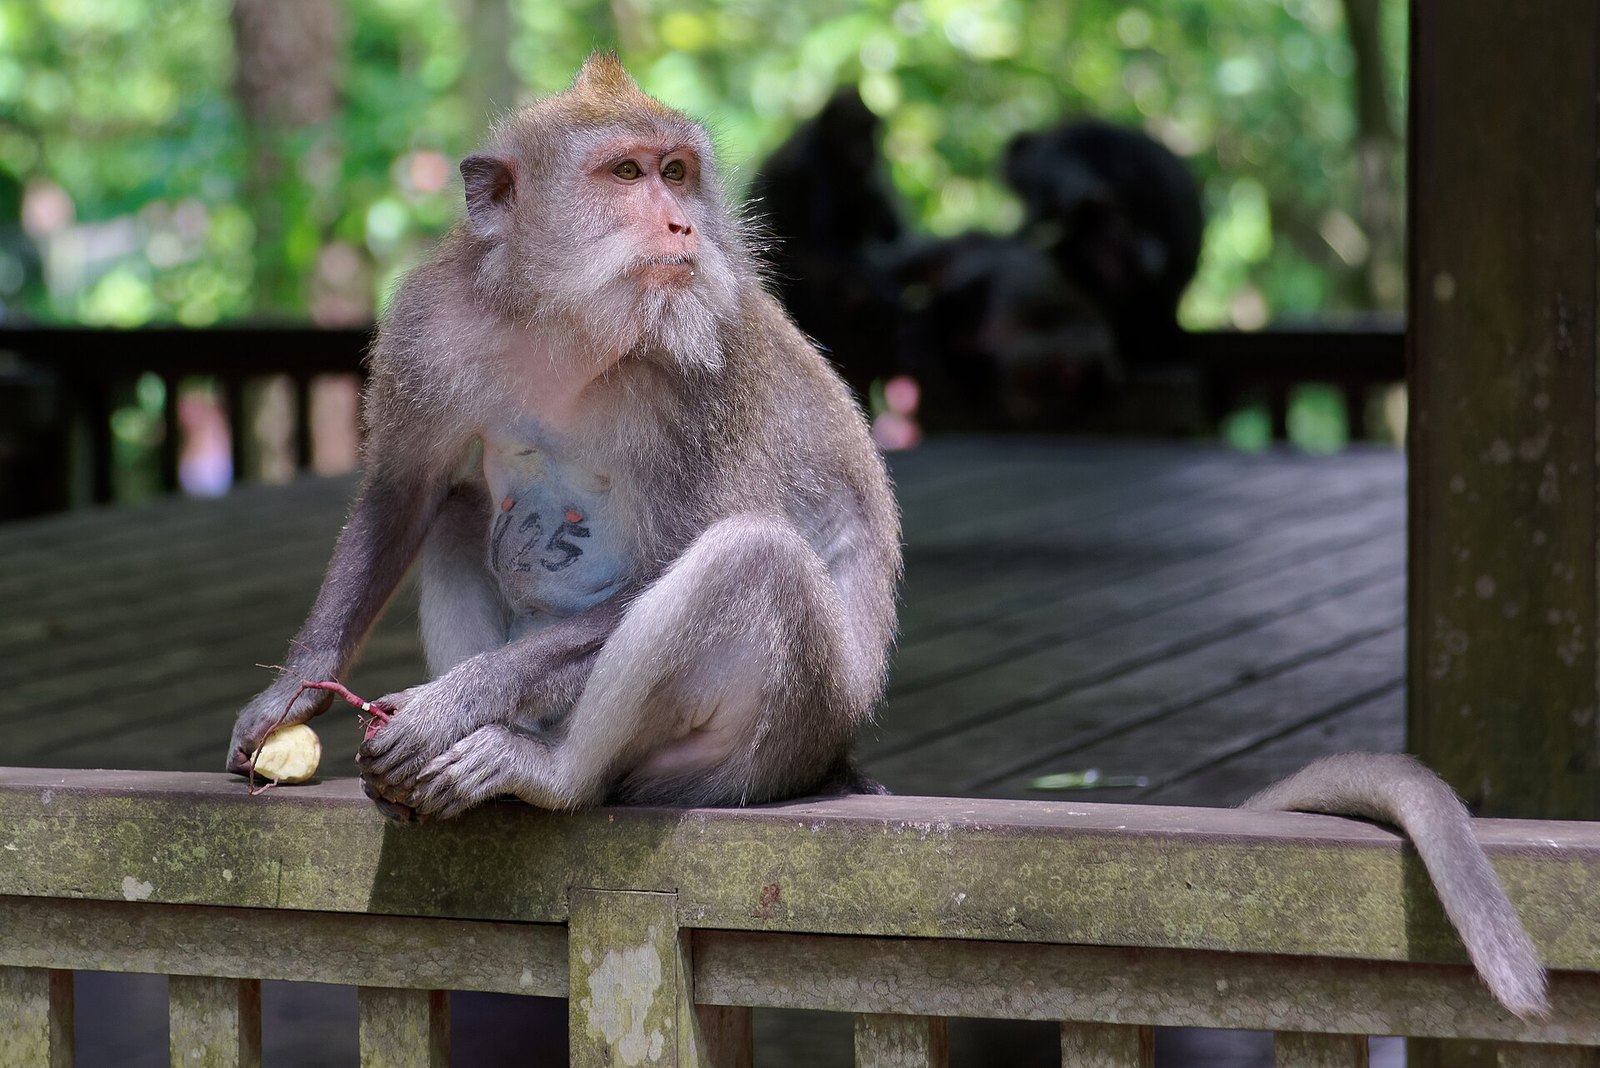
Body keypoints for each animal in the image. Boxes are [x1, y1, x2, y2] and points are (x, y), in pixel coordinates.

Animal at [224, 52, 900, 819]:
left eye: (676, 172)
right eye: (628, 173)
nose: (681, 226)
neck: (568, 322)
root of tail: (830, 756)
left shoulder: (706, 374)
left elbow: (665, 567)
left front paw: (456, 702)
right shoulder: (430, 326)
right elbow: (405, 489)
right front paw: (292, 691)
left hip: (767, 750)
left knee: (754, 560)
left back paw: (552, 772)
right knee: (461, 507)